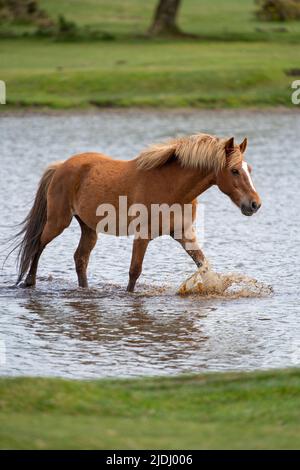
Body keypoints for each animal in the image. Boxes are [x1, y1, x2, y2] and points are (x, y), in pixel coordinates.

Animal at [13, 132, 260, 292]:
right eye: (234, 170)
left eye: (249, 169)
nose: (255, 204)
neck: (173, 188)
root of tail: (61, 166)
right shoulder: (143, 236)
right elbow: (135, 271)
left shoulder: (184, 234)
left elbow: (204, 266)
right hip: (58, 221)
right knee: (38, 245)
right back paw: (29, 282)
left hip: (89, 228)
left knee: (80, 258)